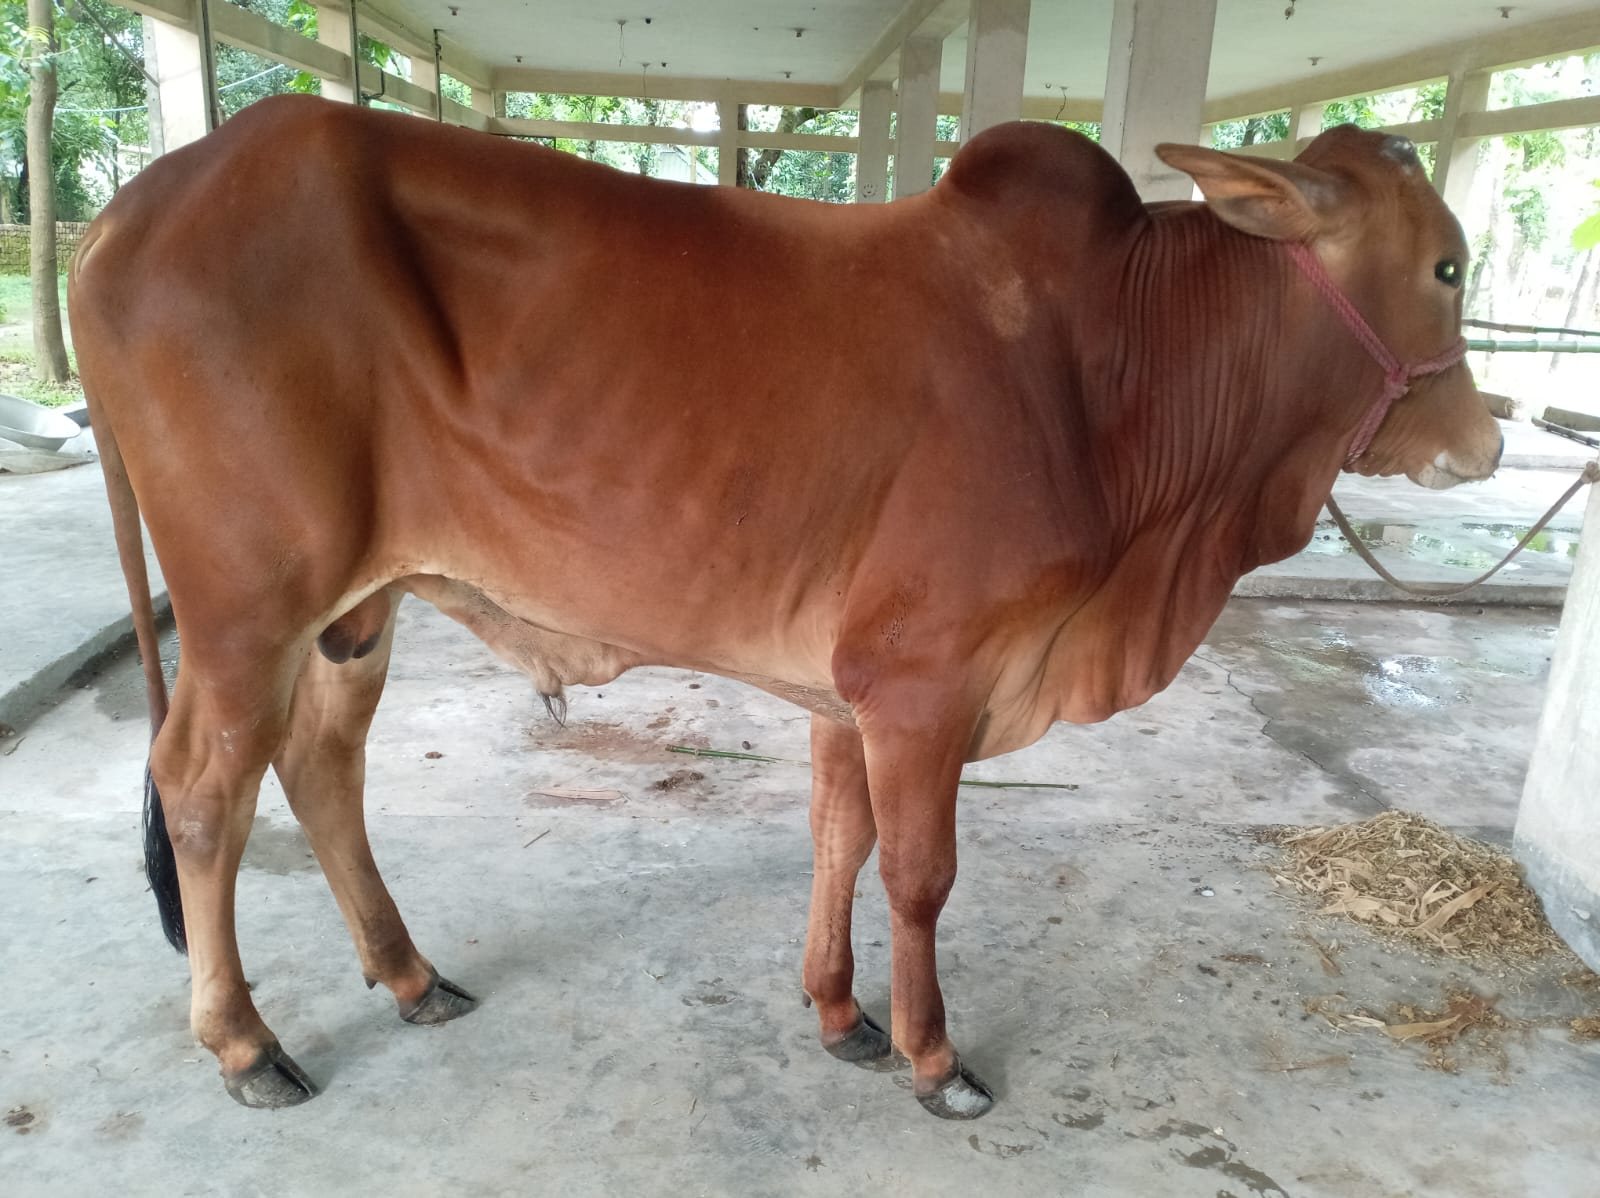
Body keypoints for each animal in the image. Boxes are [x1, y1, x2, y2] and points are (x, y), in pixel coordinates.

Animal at [69, 94, 1501, 1119]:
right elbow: (920, 873)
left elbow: (838, 841)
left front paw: (838, 1015)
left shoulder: (847, 689)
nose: (1486, 441)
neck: (1110, 373)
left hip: (355, 611)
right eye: (1445, 267)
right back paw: (245, 1043)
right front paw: (933, 1056)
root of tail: (129, 208)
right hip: (247, 608)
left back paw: (412, 976)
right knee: (202, 789)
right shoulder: (924, 682)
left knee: (321, 764)